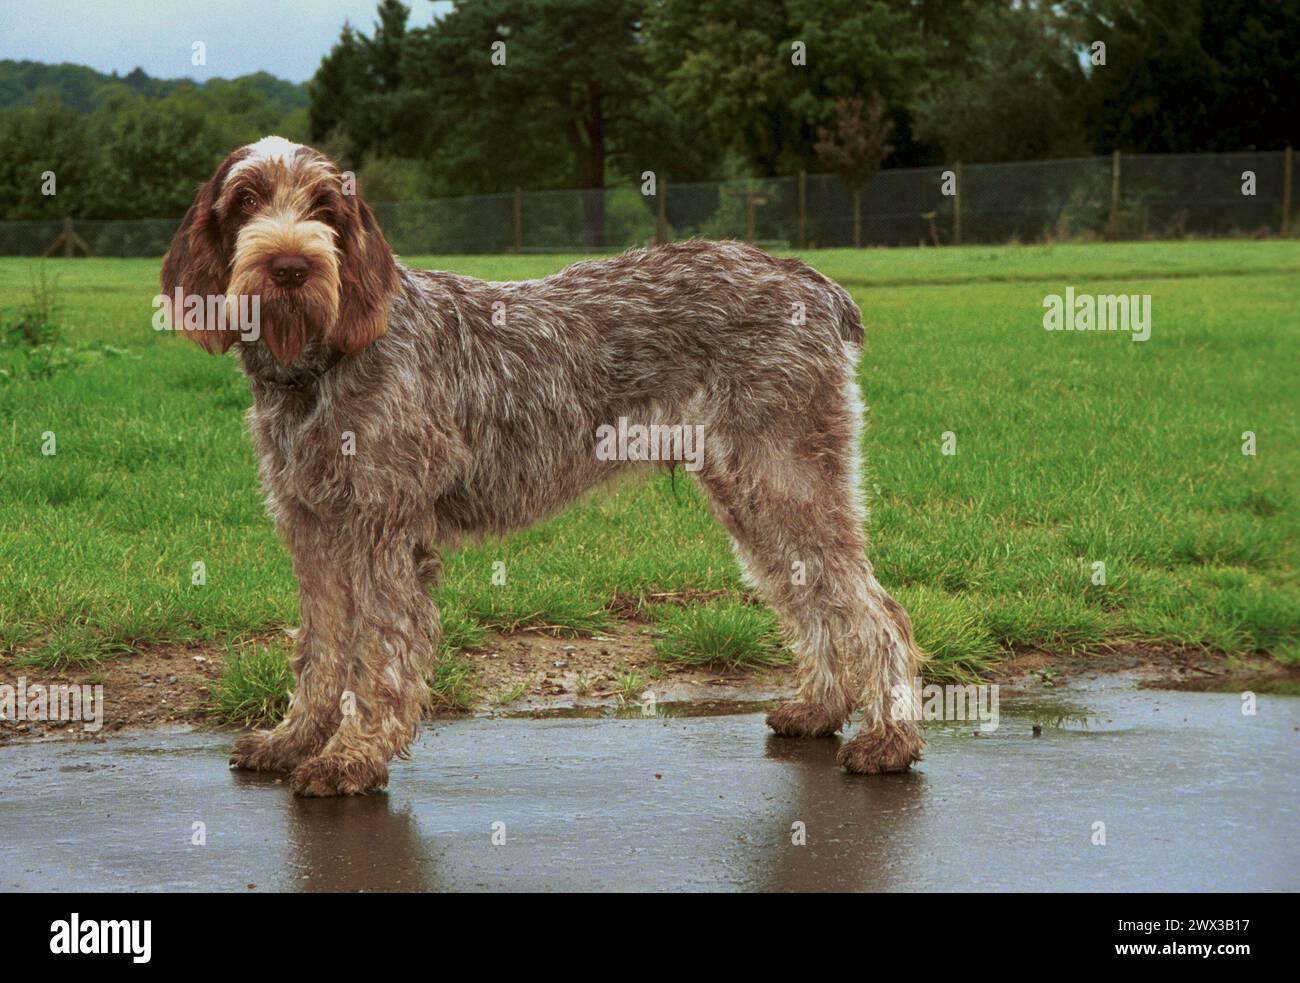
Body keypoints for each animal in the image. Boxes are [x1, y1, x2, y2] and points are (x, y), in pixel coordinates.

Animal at [162, 134, 925, 795]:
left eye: (325, 206)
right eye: (246, 200)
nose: (291, 266)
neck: (319, 369)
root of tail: (813, 283)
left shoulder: (383, 530)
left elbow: (377, 656)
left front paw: (353, 755)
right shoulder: (313, 527)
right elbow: (320, 649)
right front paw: (295, 738)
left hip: (786, 476)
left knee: (873, 608)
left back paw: (889, 737)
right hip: (751, 492)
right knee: (815, 598)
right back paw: (821, 706)